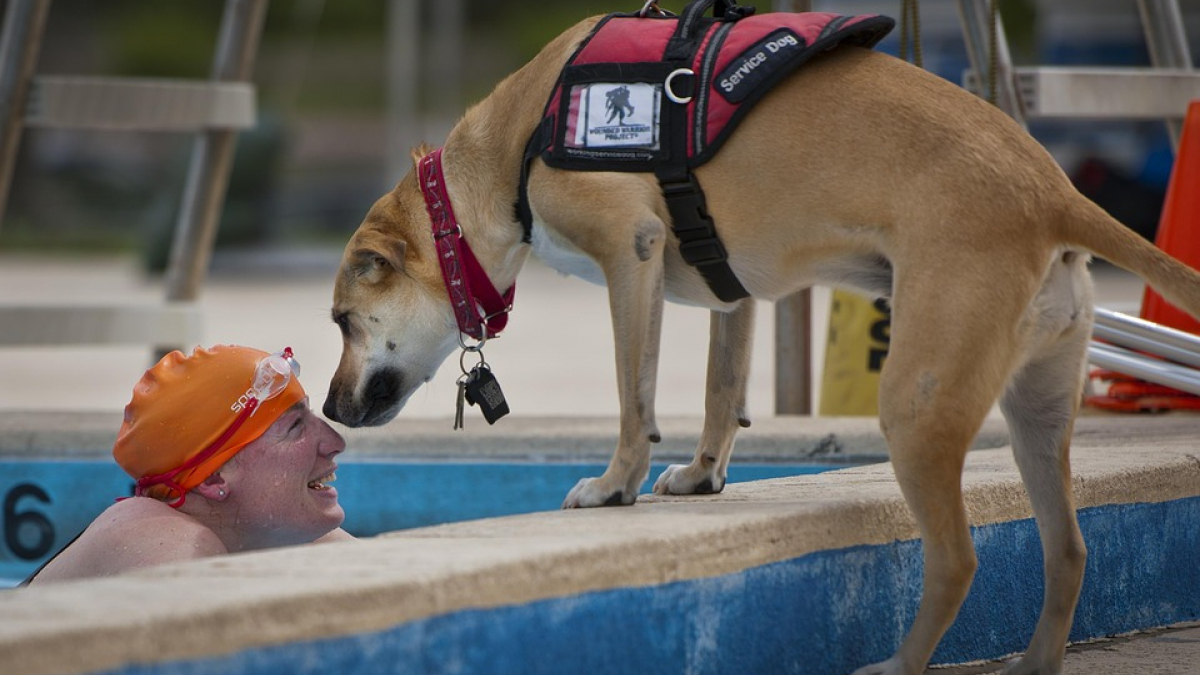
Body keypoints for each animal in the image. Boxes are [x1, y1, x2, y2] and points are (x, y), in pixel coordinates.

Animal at [324, 10, 1200, 672]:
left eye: (339, 320)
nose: (329, 407)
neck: (515, 144)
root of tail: (1053, 190)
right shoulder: (729, 289)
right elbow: (721, 388)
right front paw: (703, 475)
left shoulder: (632, 251)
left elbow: (633, 396)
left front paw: (615, 485)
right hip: (1038, 410)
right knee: (1070, 549)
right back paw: (1035, 661)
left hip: (917, 404)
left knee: (957, 558)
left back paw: (901, 662)